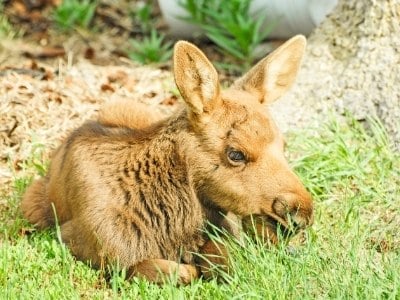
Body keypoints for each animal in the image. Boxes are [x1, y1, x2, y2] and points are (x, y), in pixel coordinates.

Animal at [21, 35, 312, 284]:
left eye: (283, 145)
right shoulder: (80, 242)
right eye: (235, 153)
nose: (302, 211)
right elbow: (175, 271)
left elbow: (223, 259)